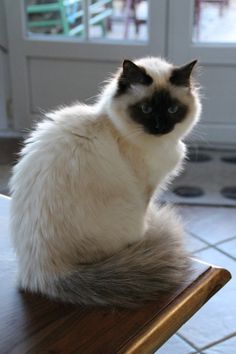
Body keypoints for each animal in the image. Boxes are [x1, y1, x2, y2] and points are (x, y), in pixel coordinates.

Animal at [9, 56, 201, 306]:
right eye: (146, 109)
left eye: (172, 109)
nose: (160, 127)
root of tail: (42, 273)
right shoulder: (146, 189)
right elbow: (147, 213)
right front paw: (149, 230)